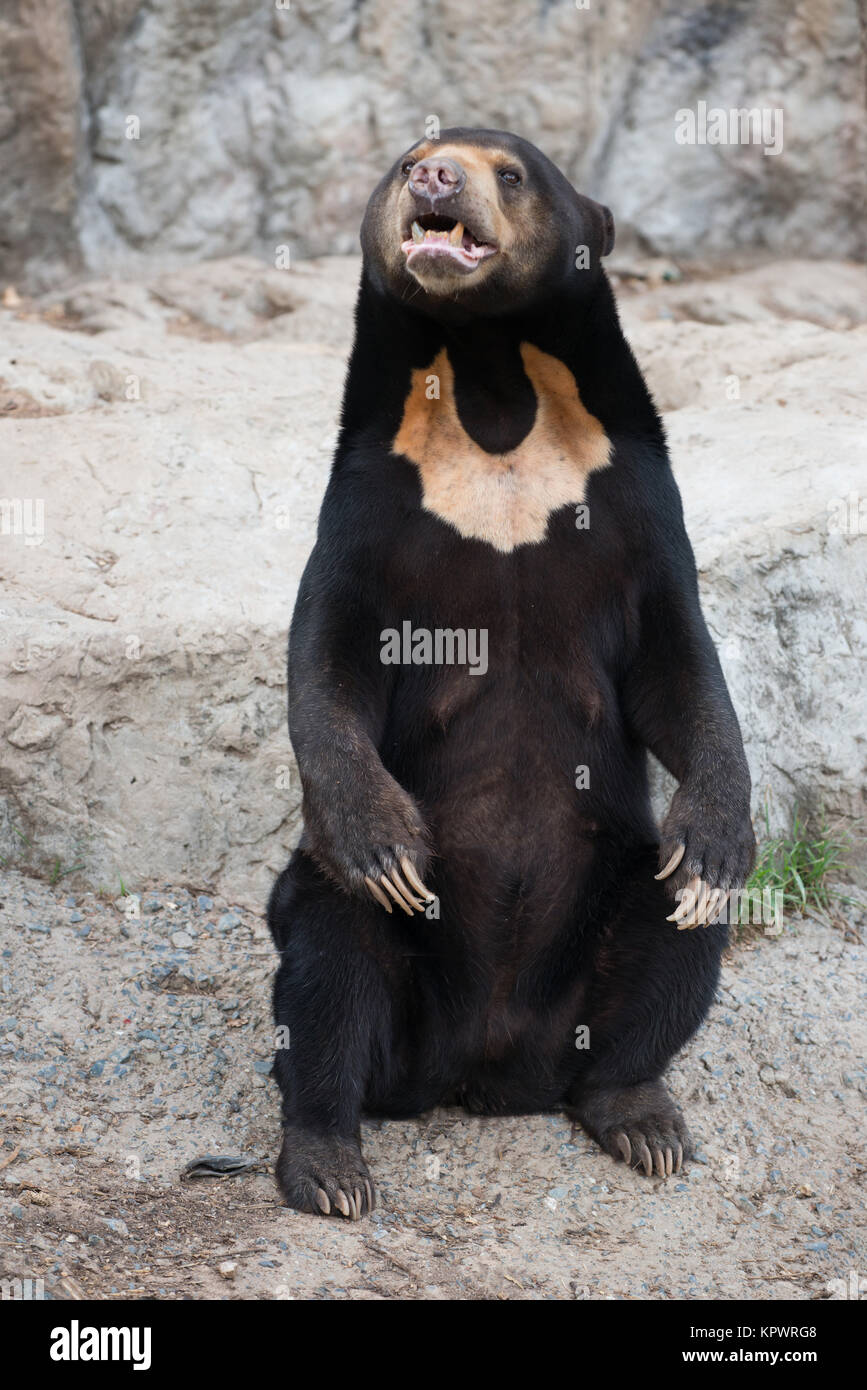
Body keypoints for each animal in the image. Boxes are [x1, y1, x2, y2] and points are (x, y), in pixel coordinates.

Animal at [268, 127, 755, 1217]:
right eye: (412, 154)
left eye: (510, 172)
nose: (434, 177)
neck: (491, 391)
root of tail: (482, 1068)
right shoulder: (372, 498)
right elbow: (329, 653)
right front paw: (384, 839)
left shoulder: (631, 498)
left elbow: (678, 662)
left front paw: (716, 837)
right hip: (373, 967)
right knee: (326, 964)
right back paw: (328, 1161)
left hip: (607, 912)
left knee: (676, 933)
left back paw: (640, 1115)